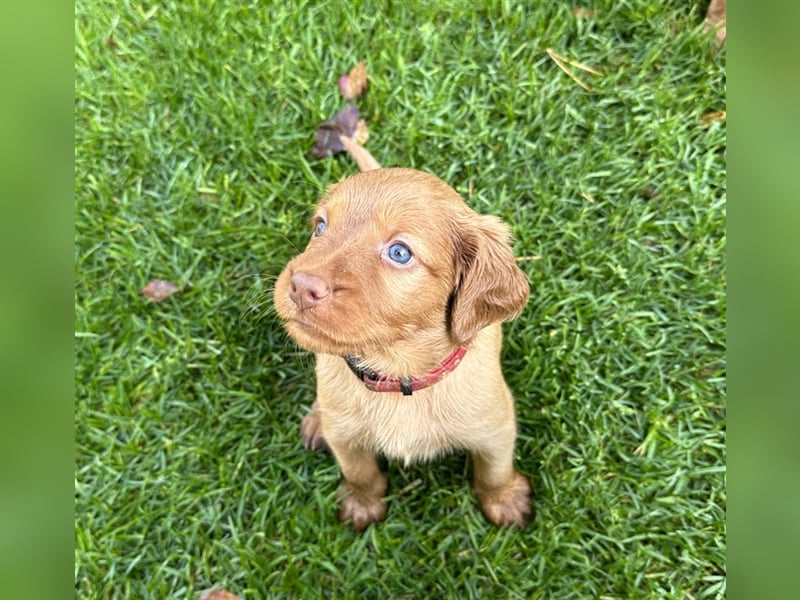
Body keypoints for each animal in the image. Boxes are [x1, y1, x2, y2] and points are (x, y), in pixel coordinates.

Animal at [276, 168, 532, 528]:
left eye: (399, 253)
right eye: (320, 227)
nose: (301, 286)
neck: (399, 377)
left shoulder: (496, 427)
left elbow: (494, 471)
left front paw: (504, 501)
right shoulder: (344, 436)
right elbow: (359, 472)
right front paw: (363, 504)